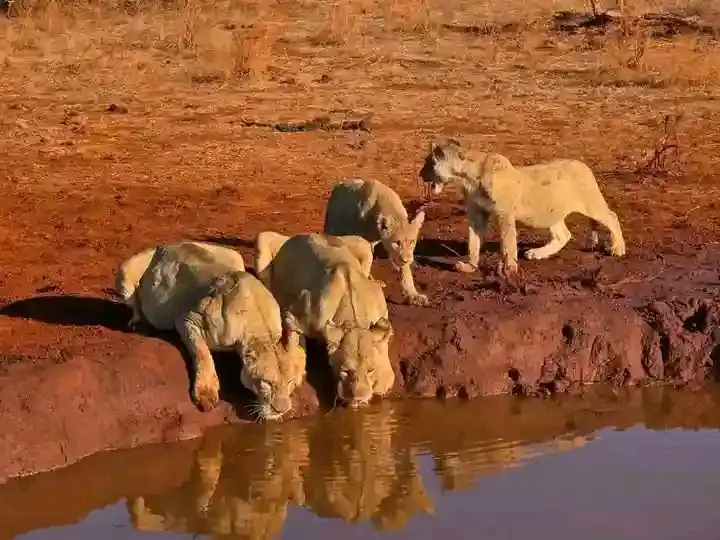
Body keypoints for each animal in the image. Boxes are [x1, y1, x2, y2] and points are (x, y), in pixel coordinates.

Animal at [115, 242, 306, 419]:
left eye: (290, 382)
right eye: (266, 382)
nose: (281, 410)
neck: (260, 325)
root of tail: (167, 244)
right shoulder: (188, 319)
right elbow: (203, 354)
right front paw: (206, 393)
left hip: (234, 255)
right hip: (124, 271)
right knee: (134, 303)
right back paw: (139, 322)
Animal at [254, 231, 395, 408]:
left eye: (370, 370)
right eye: (345, 371)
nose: (359, 398)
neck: (353, 318)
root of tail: (296, 236)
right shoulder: (293, 316)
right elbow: (295, 343)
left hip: (362, 245)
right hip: (262, 239)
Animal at [323, 178, 428, 306]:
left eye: (412, 242)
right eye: (397, 242)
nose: (407, 260)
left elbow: (406, 271)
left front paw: (414, 295)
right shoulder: (361, 240)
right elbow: (366, 260)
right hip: (334, 229)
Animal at [419, 138, 626, 276]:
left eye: (428, 163)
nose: (420, 174)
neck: (466, 177)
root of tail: (582, 164)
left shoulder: (504, 213)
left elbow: (508, 243)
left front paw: (508, 270)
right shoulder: (477, 213)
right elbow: (473, 242)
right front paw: (470, 267)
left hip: (592, 204)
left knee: (612, 217)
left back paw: (618, 249)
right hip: (551, 212)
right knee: (563, 235)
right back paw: (536, 254)